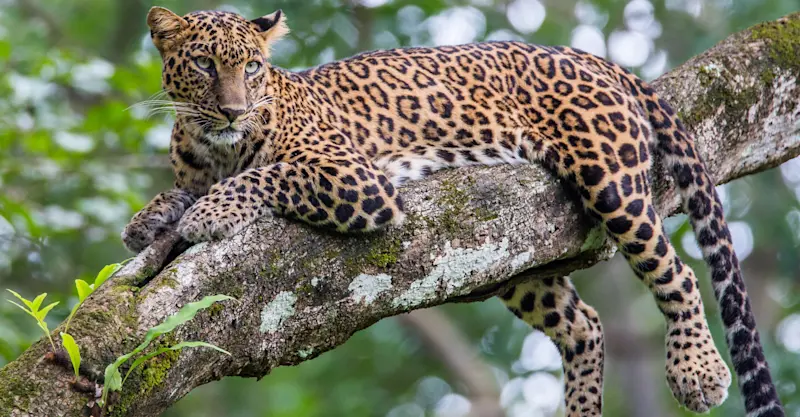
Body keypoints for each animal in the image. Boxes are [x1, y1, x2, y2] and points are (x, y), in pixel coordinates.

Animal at [122, 7, 784, 417]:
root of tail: (591, 57)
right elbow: (179, 192)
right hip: (507, 255)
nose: (233, 111)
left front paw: (210, 211)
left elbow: (267, 174)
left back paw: (698, 371)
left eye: (252, 67)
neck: (212, 143)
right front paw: (148, 220)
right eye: (204, 64)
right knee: (586, 324)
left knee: (679, 272)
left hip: (610, 182)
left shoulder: (355, 179)